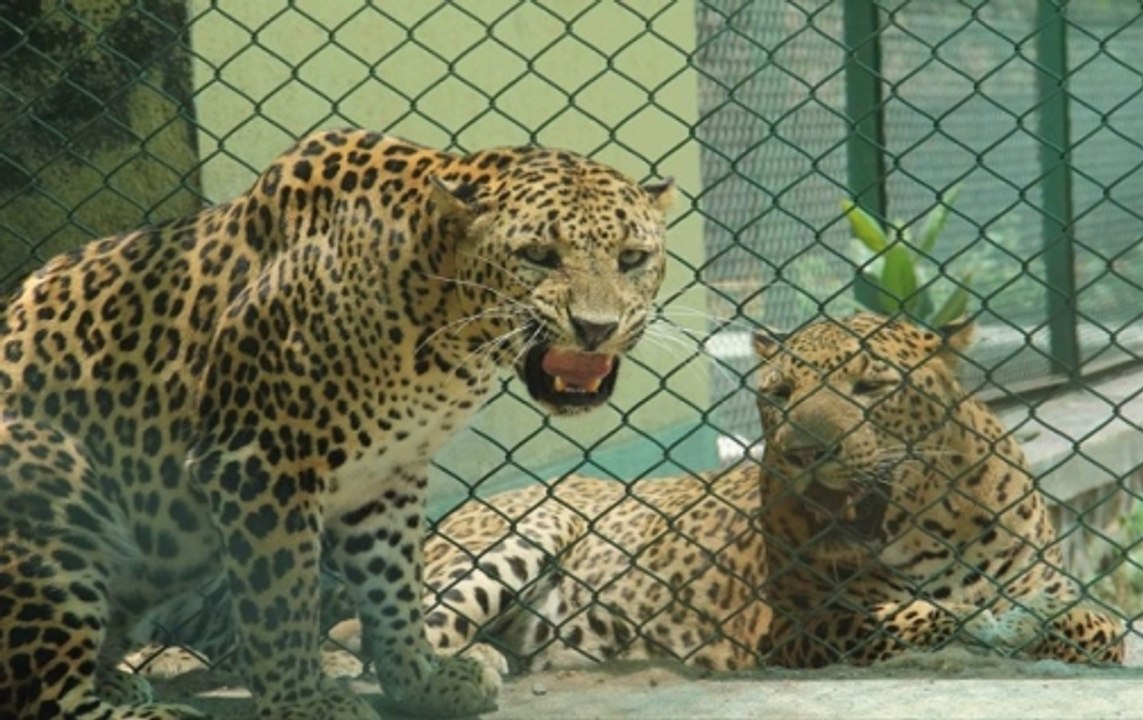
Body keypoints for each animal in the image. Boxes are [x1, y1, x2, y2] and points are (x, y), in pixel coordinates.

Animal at [0, 127, 674, 720]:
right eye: (538, 256)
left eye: (632, 259)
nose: (596, 329)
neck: (442, 326)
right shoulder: (259, 460)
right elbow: (281, 600)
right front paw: (303, 701)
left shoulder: (387, 476)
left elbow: (394, 587)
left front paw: (420, 679)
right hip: (52, 488)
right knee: (43, 694)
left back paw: (119, 681)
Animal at [751, 312, 1126, 668]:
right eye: (779, 393)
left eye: (871, 385)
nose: (803, 452)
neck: (925, 532)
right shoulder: (792, 627)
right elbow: (878, 622)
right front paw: (971, 622)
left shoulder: (1057, 592)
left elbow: (1092, 627)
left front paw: (1027, 623)